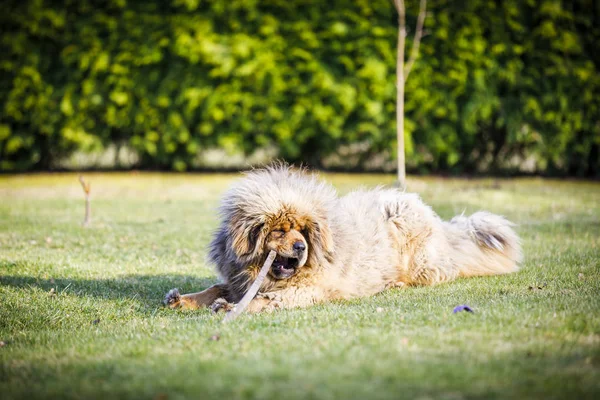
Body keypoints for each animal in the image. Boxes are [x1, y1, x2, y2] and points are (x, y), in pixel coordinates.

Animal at [164, 165, 520, 312]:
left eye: (304, 230)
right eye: (279, 230)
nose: (300, 247)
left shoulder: (310, 289)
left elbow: (268, 300)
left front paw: (232, 308)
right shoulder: (241, 280)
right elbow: (215, 288)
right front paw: (185, 300)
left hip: (415, 251)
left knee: (440, 272)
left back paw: (395, 283)